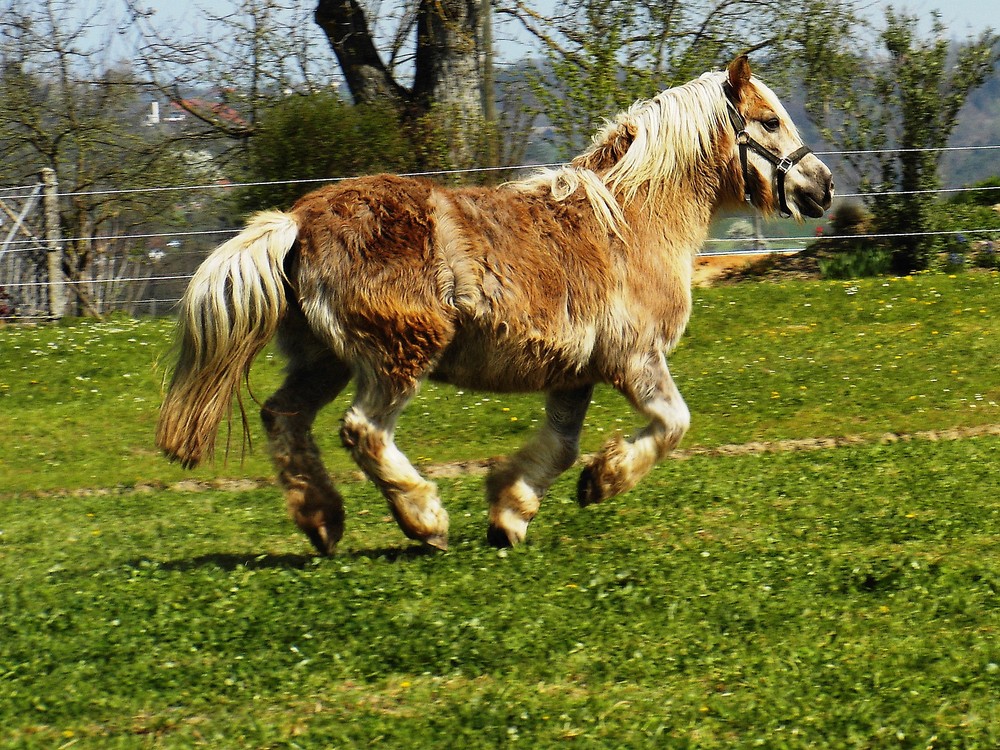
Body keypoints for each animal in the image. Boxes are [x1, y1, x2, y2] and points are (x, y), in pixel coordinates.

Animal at [152, 57, 832, 552]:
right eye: (769, 121)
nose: (823, 187)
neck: (633, 222)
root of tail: (295, 221)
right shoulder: (634, 360)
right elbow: (671, 425)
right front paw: (601, 482)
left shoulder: (575, 374)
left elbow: (560, 446)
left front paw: (509, 512)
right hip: (400, 353)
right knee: (362, 430)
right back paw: (425, 520)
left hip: (327, 360)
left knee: (283, 417)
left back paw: (322, 521)